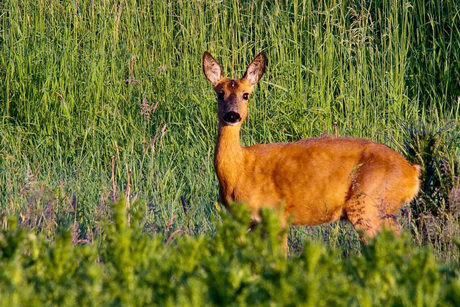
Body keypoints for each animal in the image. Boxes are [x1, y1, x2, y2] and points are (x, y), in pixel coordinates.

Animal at [202, 51, 420, 247]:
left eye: (245, 95)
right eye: (220, 94)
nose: (232, 115)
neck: (240, 170)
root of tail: (412, 174)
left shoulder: (277, 213)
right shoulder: (247, 222)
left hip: (369, 203)